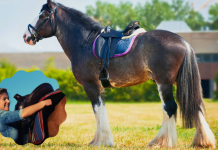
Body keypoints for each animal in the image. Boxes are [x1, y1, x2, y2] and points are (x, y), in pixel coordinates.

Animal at [23, 0, 215, 148]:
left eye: (43, 15)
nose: (26, 36)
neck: (85, 42)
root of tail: (183, 42)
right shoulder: (98, 86)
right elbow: (100, 110)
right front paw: (99, 140)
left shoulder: (91, 85)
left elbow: (98, 110)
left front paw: (102, 141)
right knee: (195, 104)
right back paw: (202, 141)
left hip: (164, 83)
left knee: (170, 107)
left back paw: (161, 142)